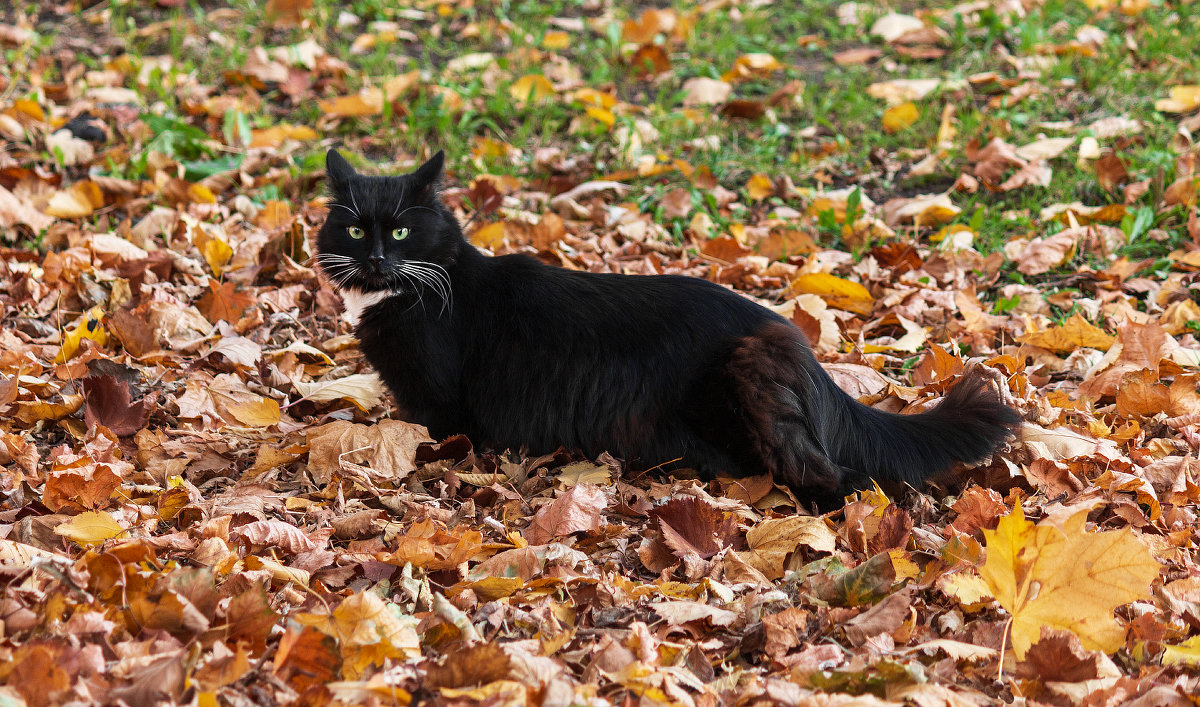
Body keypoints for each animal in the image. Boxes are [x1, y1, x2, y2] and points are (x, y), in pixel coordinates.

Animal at [314, 148, 1017, 504]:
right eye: (354, 230)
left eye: (400, 232)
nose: (375, 257)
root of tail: (813, 364)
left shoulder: (439, 405)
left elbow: (408, 434)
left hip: (752, 365)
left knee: (837, 475)